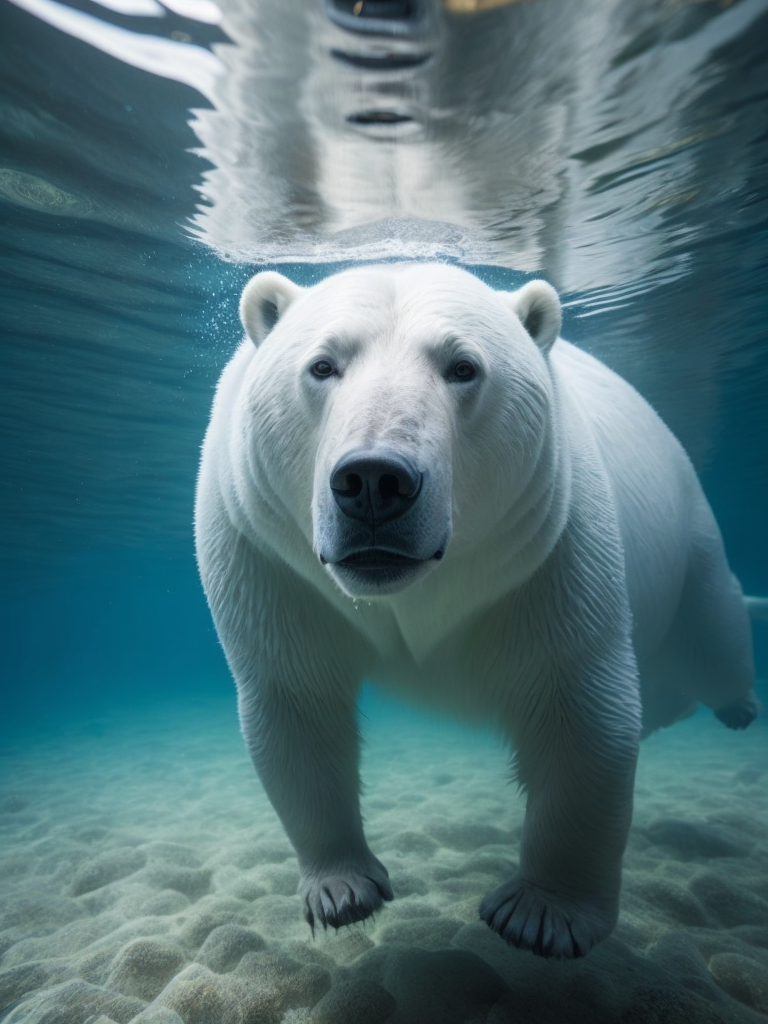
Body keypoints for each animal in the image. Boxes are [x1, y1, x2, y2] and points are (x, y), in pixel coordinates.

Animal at [195, 262, 761, 958]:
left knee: (714, 636)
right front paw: (342, 890)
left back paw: (736, 705)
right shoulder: (270, 556)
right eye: (323, 365)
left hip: (690, 538)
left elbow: (580, 711)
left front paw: (542, 914)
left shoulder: (549, 545)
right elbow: (297, 704)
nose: (374, 481)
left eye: (462, 366)